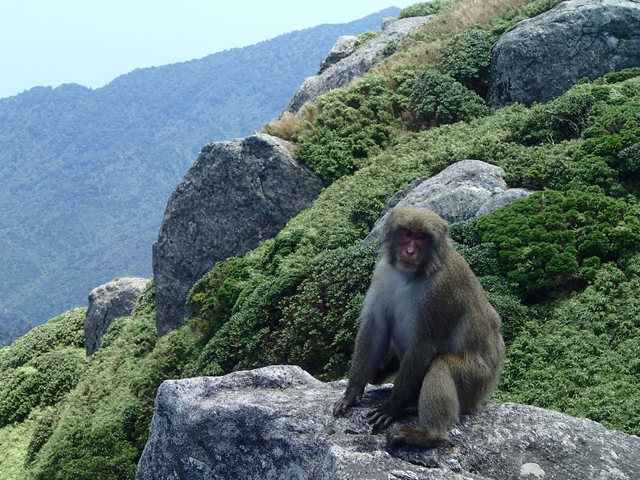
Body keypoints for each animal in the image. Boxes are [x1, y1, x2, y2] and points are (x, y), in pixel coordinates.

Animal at [336, 207, 504, 450]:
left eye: (422, 237)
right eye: (407, 233)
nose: (410, 251)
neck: (412, 274)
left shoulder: (441, 289)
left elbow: (424, 345)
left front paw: (392, 408)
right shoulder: (383, 273)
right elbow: (375, 327)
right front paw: (353, 391)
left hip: (477, 383)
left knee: (441, 364)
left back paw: (428, 435)